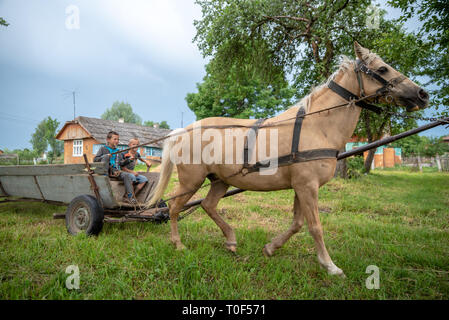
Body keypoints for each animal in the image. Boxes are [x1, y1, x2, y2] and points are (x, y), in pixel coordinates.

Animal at [146, 43, 428, 278]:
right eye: (382, 68)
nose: (422, 94)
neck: (317, 126)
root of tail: (185, 130)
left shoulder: (301, 186)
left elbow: (298, 223)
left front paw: (271, 248)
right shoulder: (307, 186)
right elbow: (315, 226)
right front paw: (330, 266)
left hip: (219, 180)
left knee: (208, 205)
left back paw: (231, 240)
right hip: (191, 180)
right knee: (174, 208)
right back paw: (178, 244)